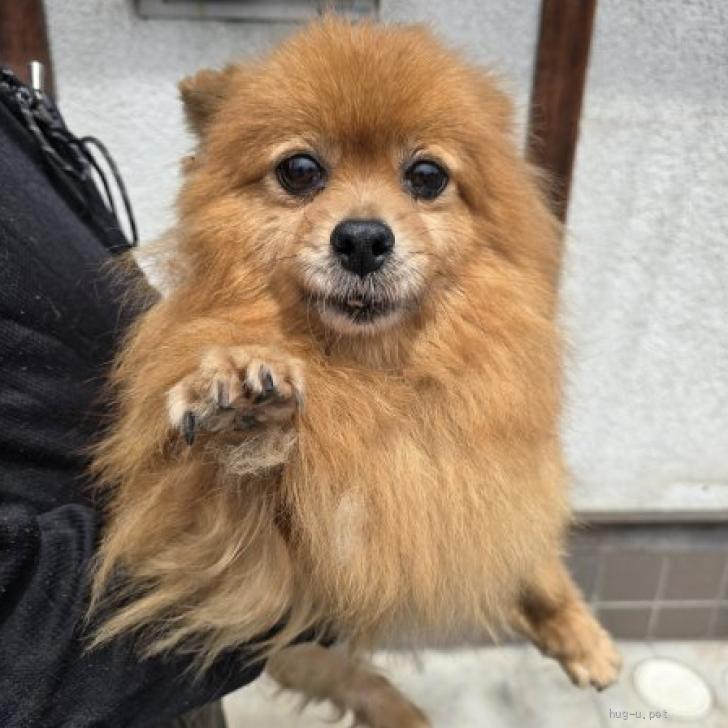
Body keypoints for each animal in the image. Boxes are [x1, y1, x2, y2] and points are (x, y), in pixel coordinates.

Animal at [90, 17, 621, 727]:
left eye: (426, 176)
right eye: (300, 170)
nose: (364, 238)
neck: (370, 376)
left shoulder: (494, 475)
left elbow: (529, 549)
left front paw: (578, 633)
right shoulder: (239, 579)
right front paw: (240, 386)